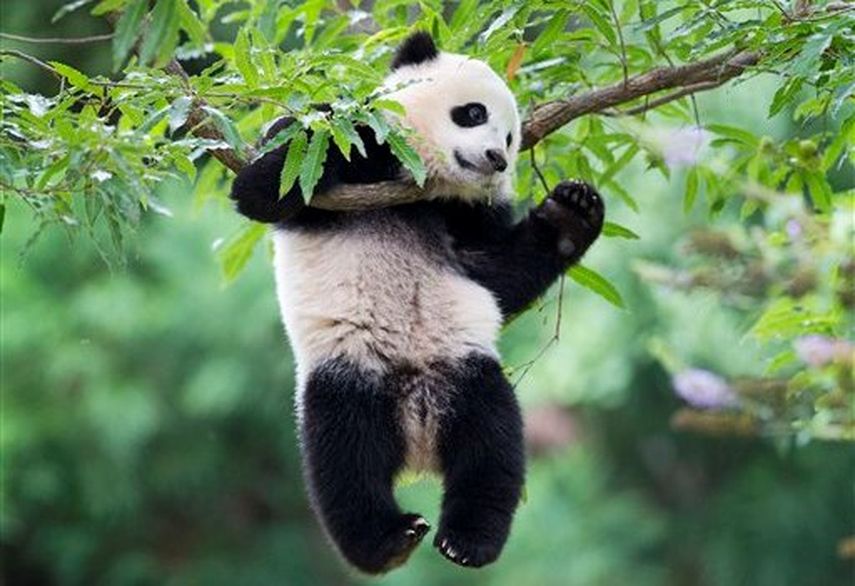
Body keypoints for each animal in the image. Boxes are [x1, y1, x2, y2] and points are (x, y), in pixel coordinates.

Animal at [230, 32, 604, 574]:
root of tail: (417, 436)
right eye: (473, 113)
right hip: (350, 374)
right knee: (344, 457)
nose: (496, 158)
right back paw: (386, 542)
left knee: (492, 447)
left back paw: (467, 541)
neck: (426, 185)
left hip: (463, 372)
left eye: (512, 139)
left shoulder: (468, 217)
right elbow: (269, 184)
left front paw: (572, 212)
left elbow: (497, 276)